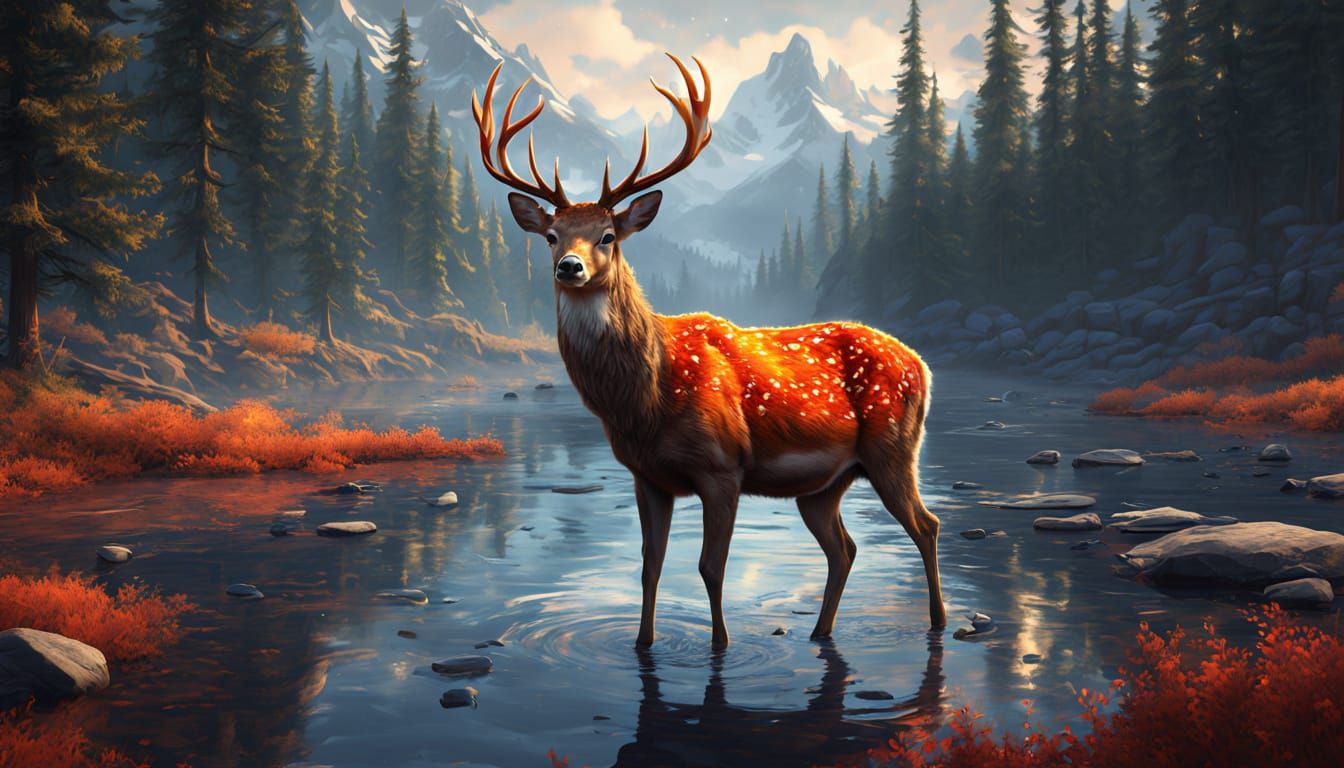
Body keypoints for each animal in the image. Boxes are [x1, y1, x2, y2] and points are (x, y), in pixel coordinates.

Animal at [472, 54, 945, 648]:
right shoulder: (646, 475)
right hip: (824, 484)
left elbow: (709, 568)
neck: (646, 398)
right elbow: (650, 566)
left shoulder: (723, 467)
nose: (569, 268)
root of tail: (922, 364)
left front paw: (720, 646)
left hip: (893, 448)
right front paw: (642, 644)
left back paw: (938, 623)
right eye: (552, 236)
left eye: (608, 235)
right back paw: (819, 633)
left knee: (927, 525)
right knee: (845, 547)